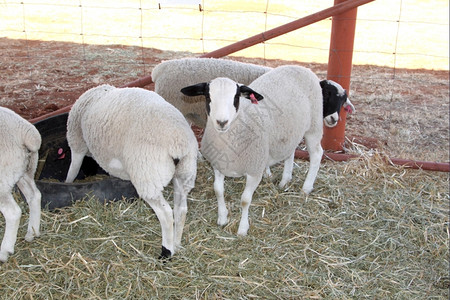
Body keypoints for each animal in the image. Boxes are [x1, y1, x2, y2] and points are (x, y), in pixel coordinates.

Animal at [0, 106, 41, 262]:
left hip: (2, 179)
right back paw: (32, 233)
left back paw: (4, 251)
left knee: (13, 213)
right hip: (24, 169)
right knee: (35, 195)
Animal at [64, 84, 198, 258]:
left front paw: (67, 184)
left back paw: (166, 252)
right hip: (184, 173)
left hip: (147, 175)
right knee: (180, 209)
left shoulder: (77, 141)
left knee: (166, 214)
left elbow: (72, 170)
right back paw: (177, 244)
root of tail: (178, 142)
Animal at [181, 65, 326, 237]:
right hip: (289, 132)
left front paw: (243, 229)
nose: (222, 122)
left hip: (314, 125)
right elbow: (218, 190)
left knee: (317, 154)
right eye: (208, 96)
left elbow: (245, 200)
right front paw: (222, 218)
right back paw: (285, 181)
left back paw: (306, 187)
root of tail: (300, 67)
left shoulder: (254, 170)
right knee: (290, 152)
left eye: (236, 97)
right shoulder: (218, 166)